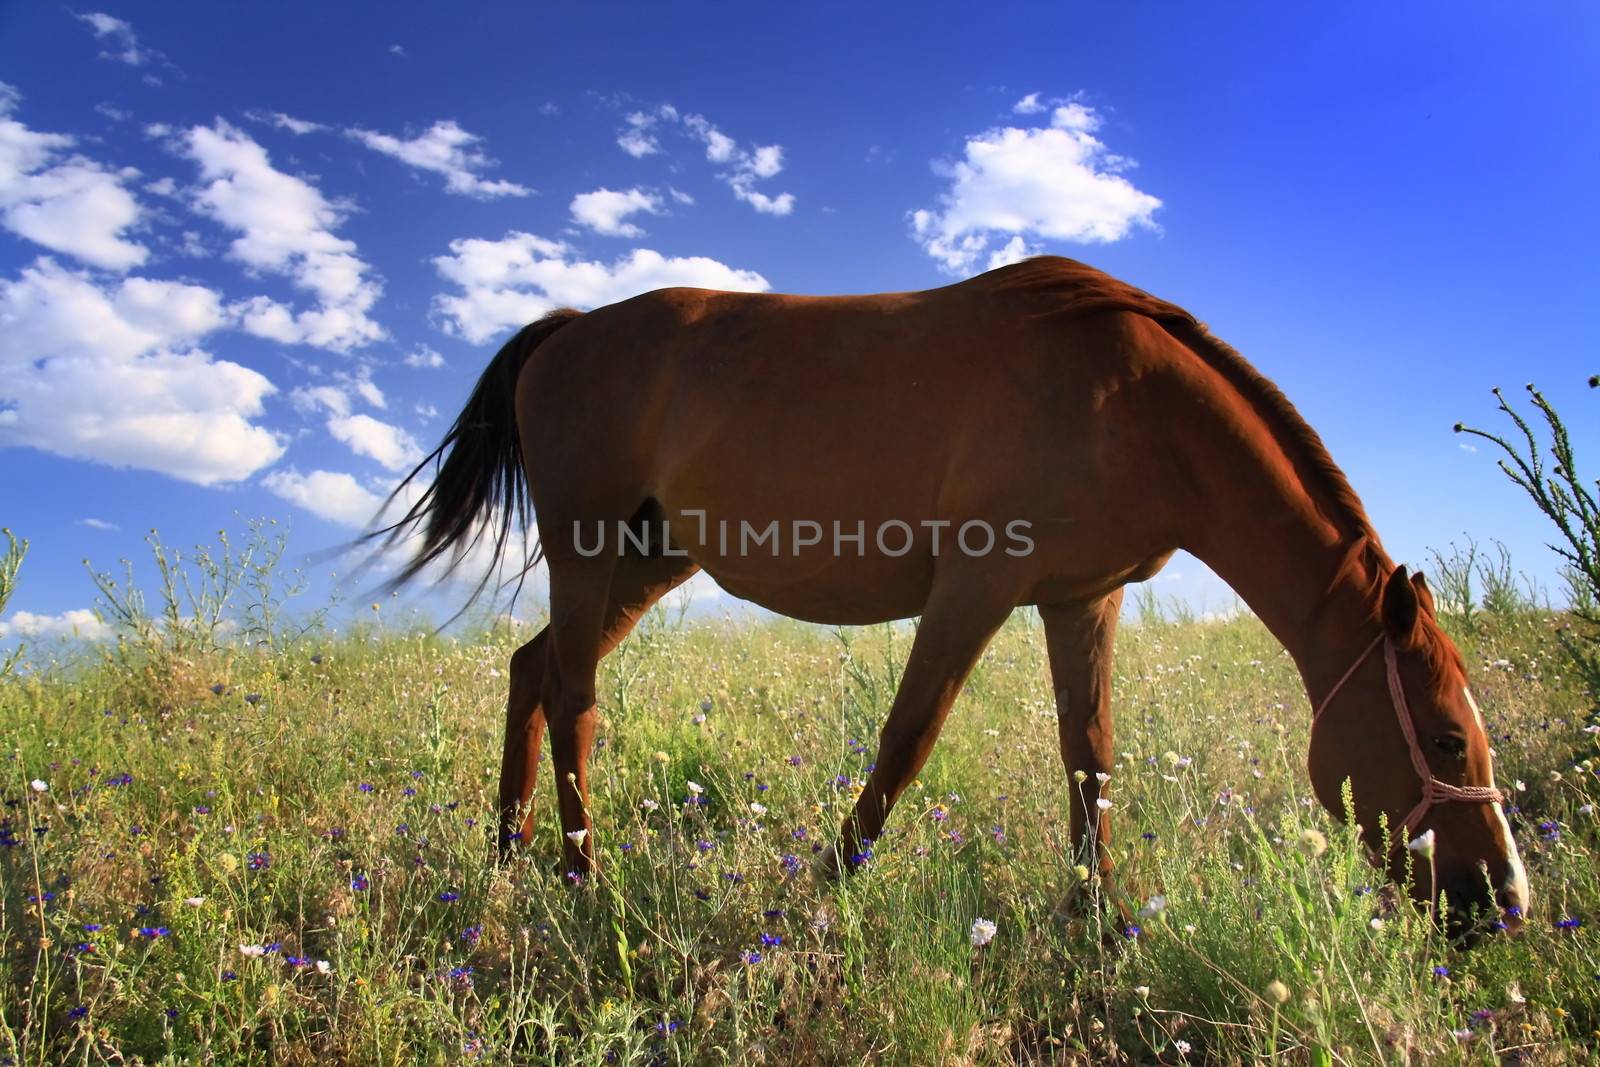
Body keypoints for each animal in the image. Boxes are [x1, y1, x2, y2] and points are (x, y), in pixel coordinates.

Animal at [380, 254, 1529, 927]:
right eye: (1443, 740)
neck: (1137, 402)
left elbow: (1089, 756)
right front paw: (821, 896)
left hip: (647, 561)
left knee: (533, 669)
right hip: (590, 551)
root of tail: (569, 329)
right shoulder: (978, 583)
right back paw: (580, 877)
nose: (1506, 899)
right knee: (573, 692)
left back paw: (509, 855)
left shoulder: (1081, 597)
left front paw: (1096, 924)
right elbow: (907, 739)